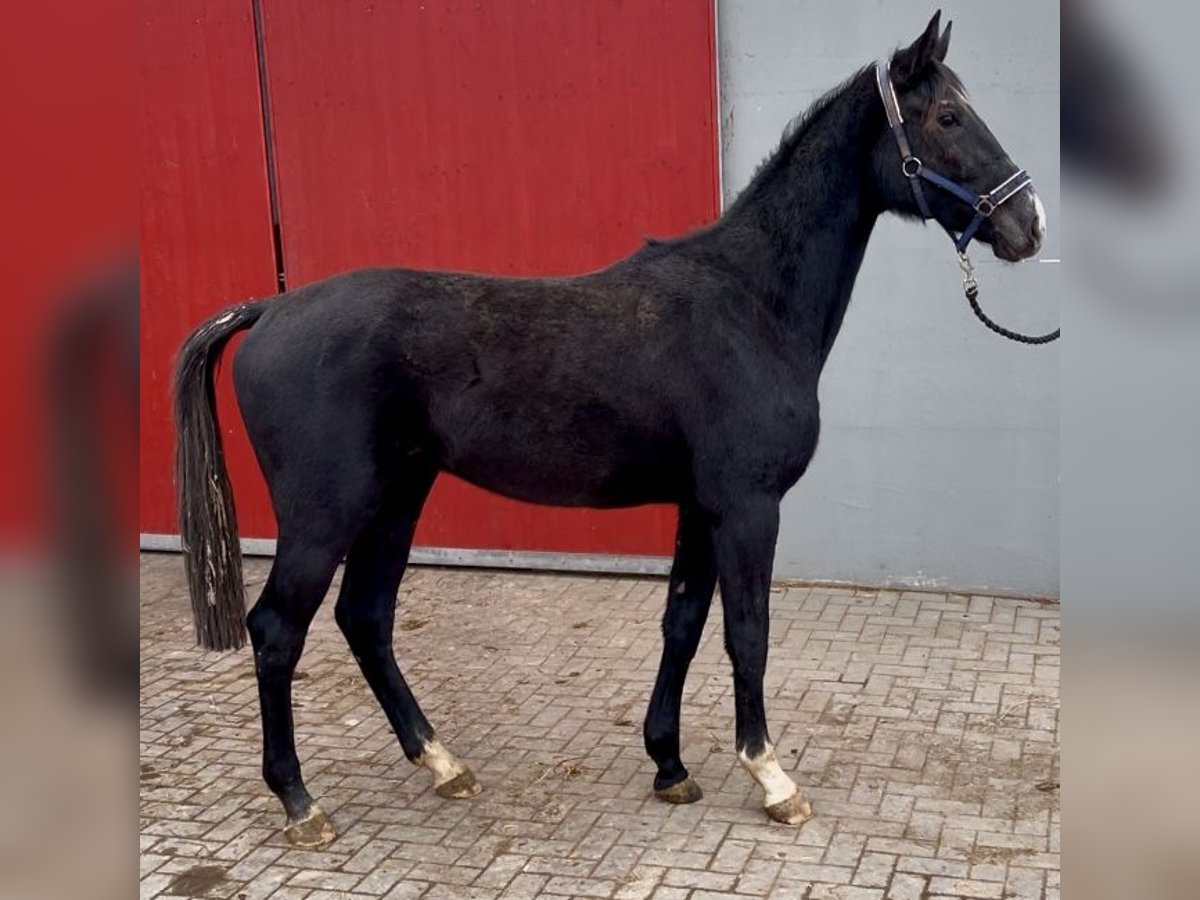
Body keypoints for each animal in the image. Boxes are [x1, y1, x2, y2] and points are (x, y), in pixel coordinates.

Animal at [174, 10, 1046, 849]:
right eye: (948, 115)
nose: (1028, 221)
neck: (750, 303)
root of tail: (270, 308)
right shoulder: (747, 507)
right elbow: (749, 633)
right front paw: (771, 778)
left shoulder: (701, 507)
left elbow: (683, 624)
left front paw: (670, 765)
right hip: (325, 515)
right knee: (278, 631)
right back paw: (300, 803)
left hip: (397, 497)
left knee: (366, 616)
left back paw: (443, 763)